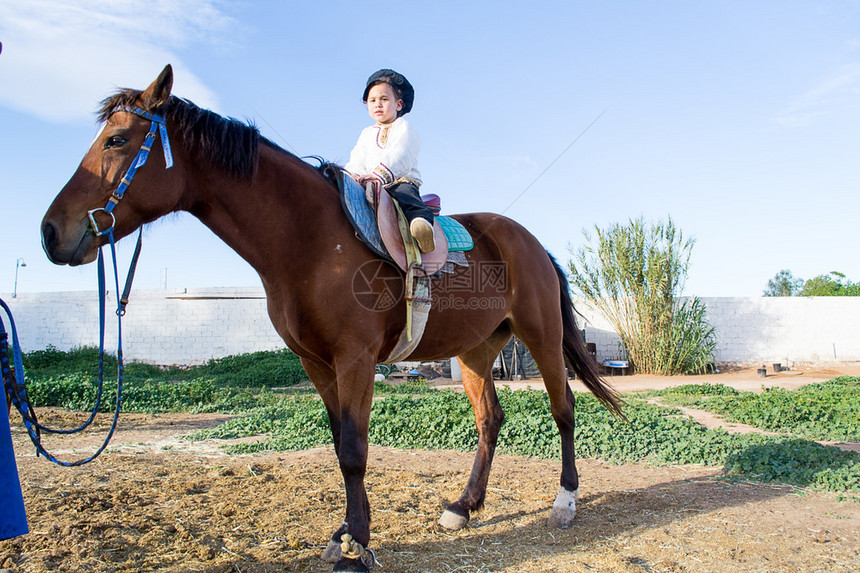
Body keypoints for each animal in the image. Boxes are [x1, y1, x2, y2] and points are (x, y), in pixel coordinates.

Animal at [40, 63, 620, 572]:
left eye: (117, 141)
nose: (50, 233)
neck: (311, 240)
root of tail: (532, 244)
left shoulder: (355, 360)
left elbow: (355, 450)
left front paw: (357, 546)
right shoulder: (316, 363)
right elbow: (340, 444)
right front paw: (344, 533)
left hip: (541, 336)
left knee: (564, 409)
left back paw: (565, 502)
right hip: (477, 350)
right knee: (490, 420)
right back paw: (462, 506)